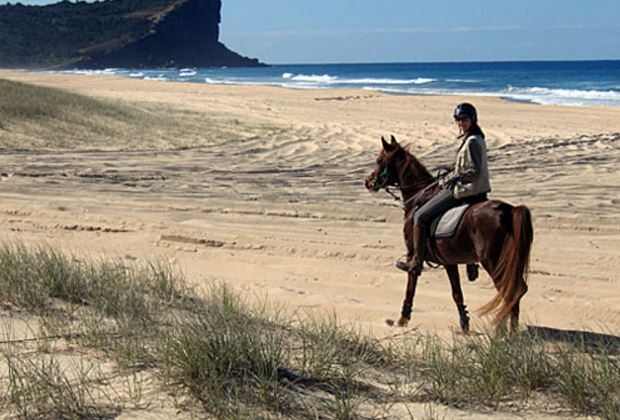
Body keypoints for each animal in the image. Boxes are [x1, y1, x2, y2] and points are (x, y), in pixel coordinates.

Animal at [364, 136, 532, 334]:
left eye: (379, 160)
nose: (368, 181)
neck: (419, 198)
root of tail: (509, 210)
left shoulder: (413, 255)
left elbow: (411, 287)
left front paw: (402, 319)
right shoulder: (449, 262)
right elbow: (457, 293)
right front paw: (464, 325)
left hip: (494, 262)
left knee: (511, 290)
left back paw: (506, 332)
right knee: (514, 291)